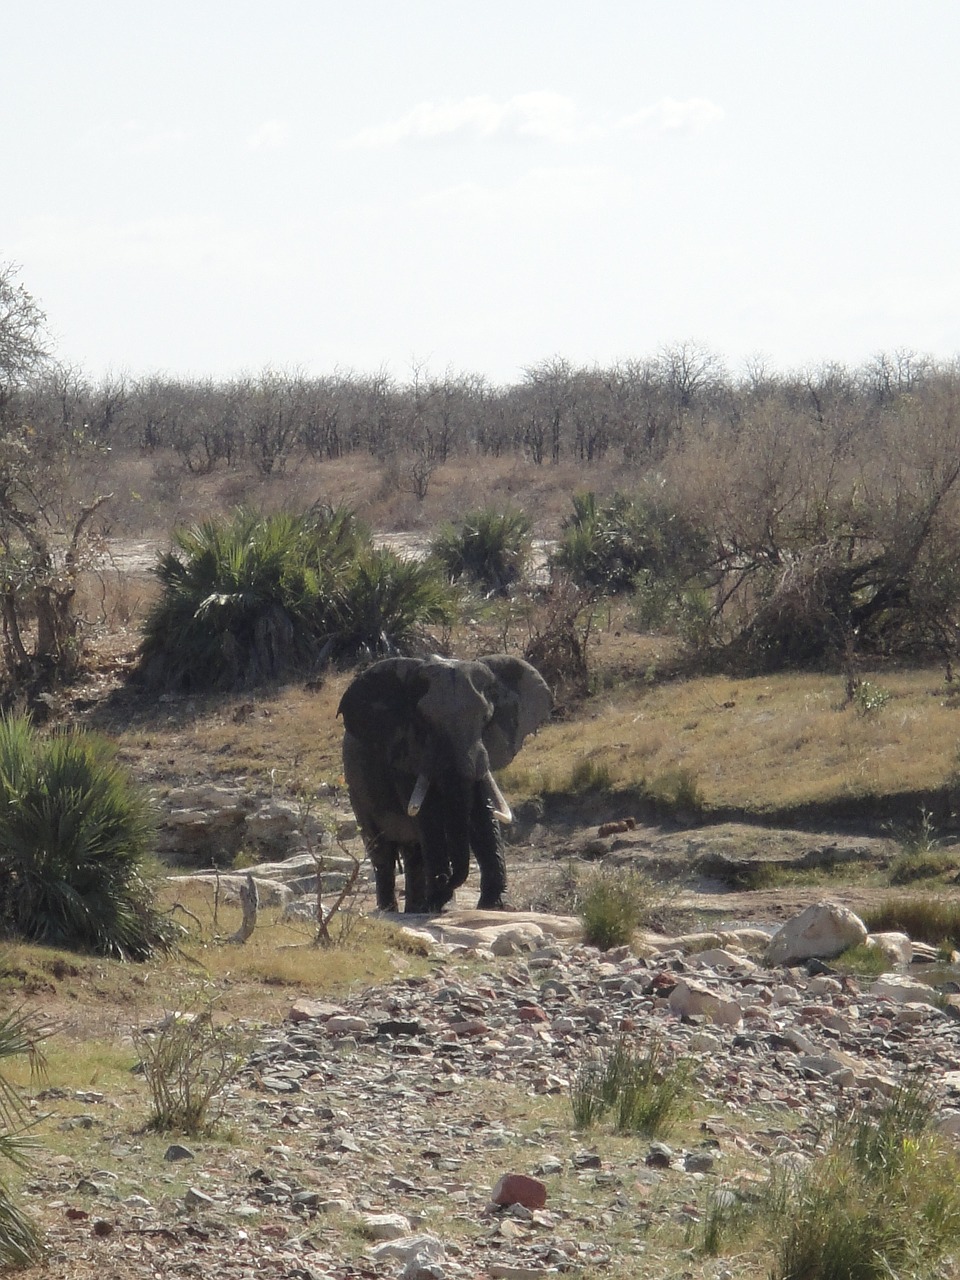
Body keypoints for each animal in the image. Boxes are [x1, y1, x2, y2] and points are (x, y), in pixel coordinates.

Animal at [337, 655, 552, 916]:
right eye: (425, 721)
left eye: (485, 719)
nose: (443, 878)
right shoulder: (408, 755)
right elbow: (429, 816)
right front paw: (442, 904)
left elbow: (482, 814)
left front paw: (496, 906)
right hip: (356, 787)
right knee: (382, 851)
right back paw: (392, 910)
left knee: (413, 852)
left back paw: (416, 909)